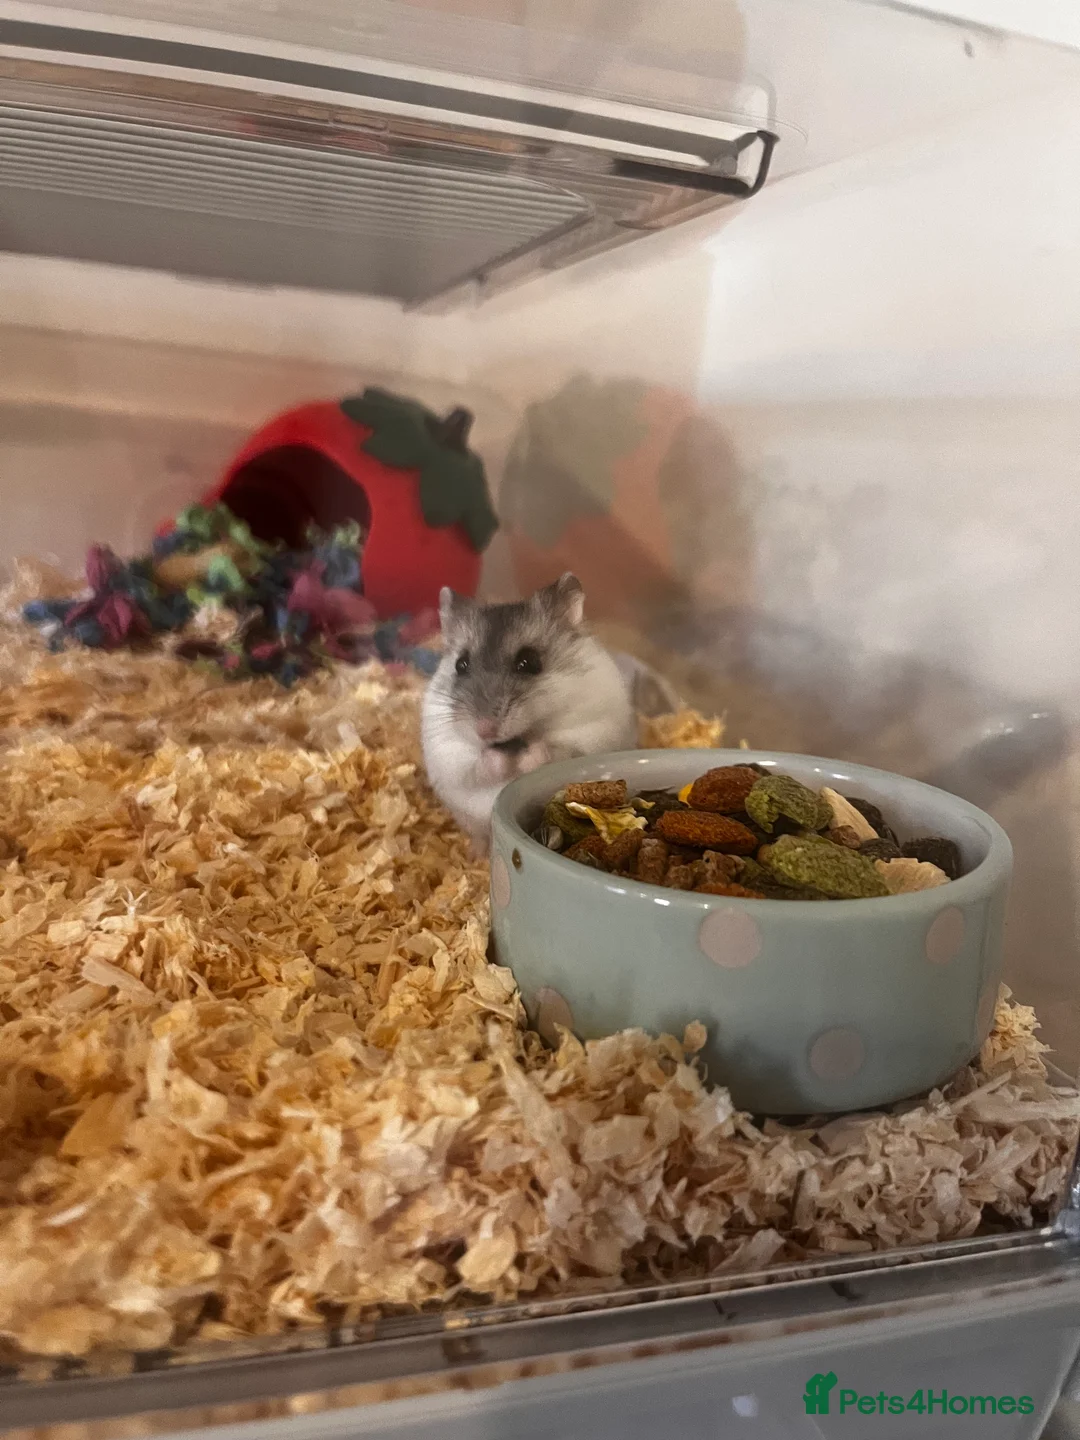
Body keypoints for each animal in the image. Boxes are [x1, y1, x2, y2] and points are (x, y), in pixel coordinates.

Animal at [421, 573, 636, 855]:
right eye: (460, 665)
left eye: (529, 662)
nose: (485, 730)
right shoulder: (448, 752)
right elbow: (477, 765)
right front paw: (501, 759)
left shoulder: (591, 732)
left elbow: (552, 750)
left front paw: (527, 756)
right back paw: (474, 854)